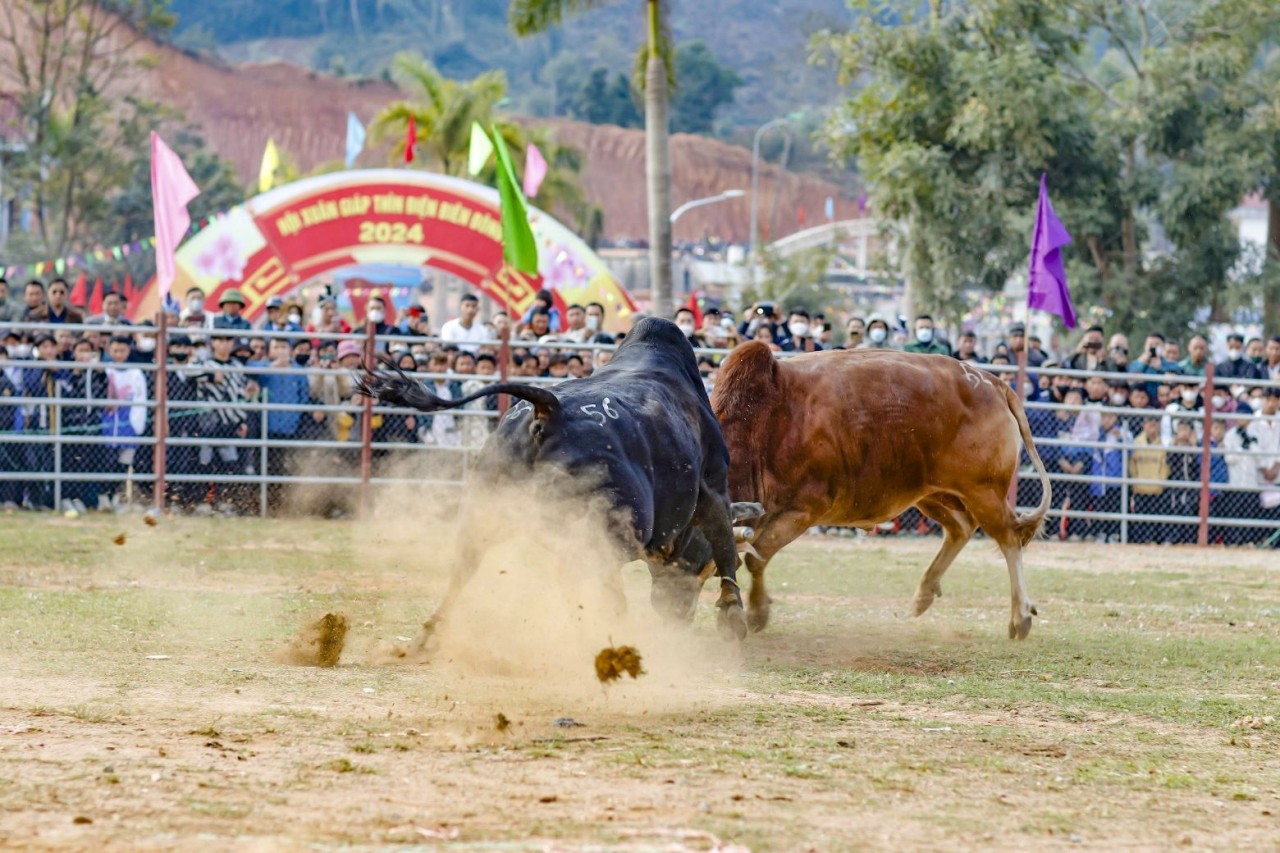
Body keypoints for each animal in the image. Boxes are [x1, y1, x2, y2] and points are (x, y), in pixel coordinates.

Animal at [355, 317, 752, 637]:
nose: (679, 614)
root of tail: (549, 410)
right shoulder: (714, 485)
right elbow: (725, 544)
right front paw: (733, 614)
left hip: (489, 509)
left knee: (466, 567)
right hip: (610, 527)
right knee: (596, 582)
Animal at [711, 338, 1049, 637]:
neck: (762, 428)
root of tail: (993, 382)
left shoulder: (804, 510)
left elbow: (755, 558)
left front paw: (756, 612)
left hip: (984, 492)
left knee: (1009, 538)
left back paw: (1020, 617)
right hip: (932, 494)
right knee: (961, 529)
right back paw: (924, 594)